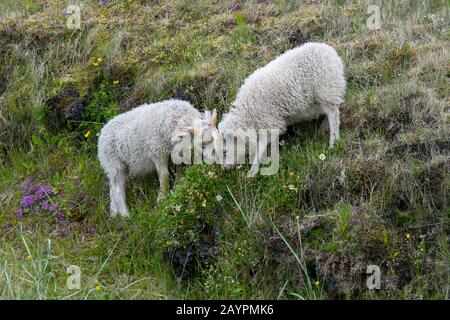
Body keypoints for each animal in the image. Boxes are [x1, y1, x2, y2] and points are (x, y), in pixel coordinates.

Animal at [216, 42, 346, 178]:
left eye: (225, 151)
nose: (224, 169)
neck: (249, 111)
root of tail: (330, 51)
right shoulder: (269, 123)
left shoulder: (267, 120)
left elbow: (260, 147)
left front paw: (252, 171)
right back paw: (323, 129)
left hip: (326, 89)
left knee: (333, 114)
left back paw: (333, 142)